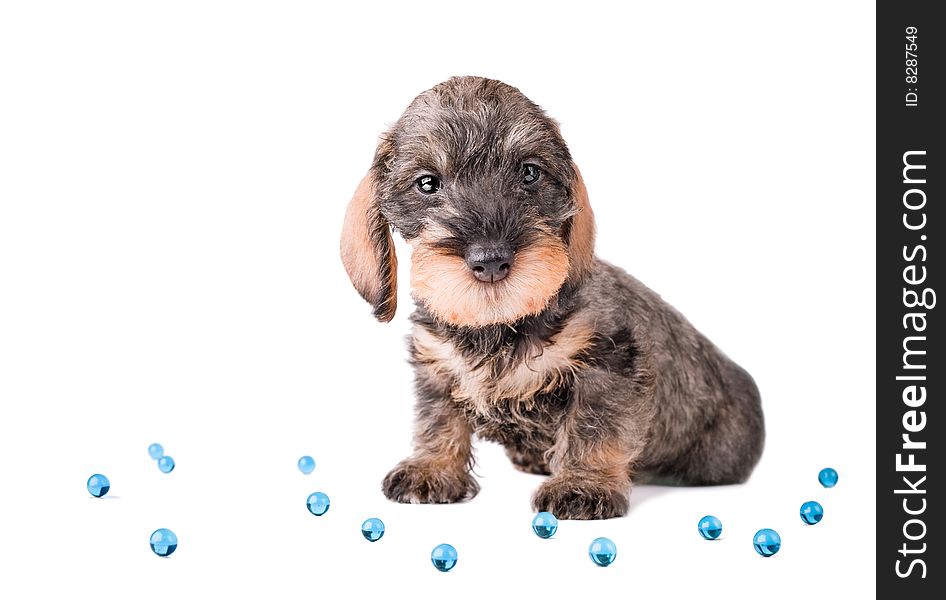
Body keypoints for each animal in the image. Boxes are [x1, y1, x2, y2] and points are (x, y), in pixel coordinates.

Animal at [340, 76, 760, 520]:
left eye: (529, 172)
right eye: (426, 183)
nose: (490, 259)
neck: (500, 327)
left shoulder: (608, 365)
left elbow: (594, 428)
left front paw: (584, 483)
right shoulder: (436, 367)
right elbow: (437, 419)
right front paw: (432, 468)